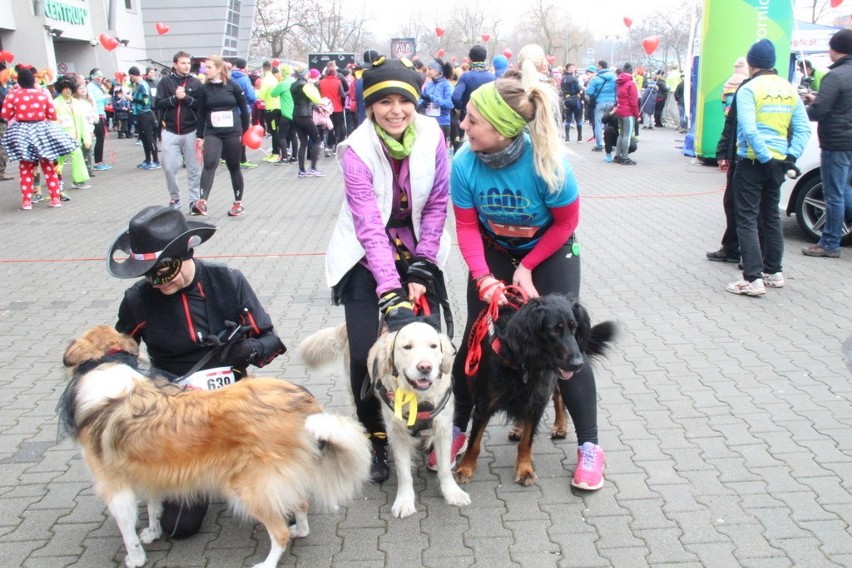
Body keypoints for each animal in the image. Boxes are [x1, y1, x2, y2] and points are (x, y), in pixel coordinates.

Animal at [56, 326, 370, 564]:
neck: (104, 364)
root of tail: (300, 400)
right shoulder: (147, 470)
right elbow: (154, 506)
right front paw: (153, 533)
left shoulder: (115, 487)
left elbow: (127, 532)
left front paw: (135, 558)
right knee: (300, 503)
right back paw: (299, 529)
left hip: (248, 486)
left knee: (278, 532)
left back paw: (267, 562)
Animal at [300, 322, 472, 516]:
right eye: (407, 347)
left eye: (433, 346)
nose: (425, 367)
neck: (418, 399)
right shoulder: (398, 433)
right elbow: (404, 472)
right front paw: (404, 501)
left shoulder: (443, 428)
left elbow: (444, 468)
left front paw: (453, 493)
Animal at [456, 296, 616, 486]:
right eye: (553, 330)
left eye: (574, 327)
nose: (578, 364)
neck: (522, 363)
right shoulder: (484, 403)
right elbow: (474, 443)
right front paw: (465, 468)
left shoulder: (537, 401)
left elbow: (527, 442)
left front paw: (524, 469)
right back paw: (518, 428)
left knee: (558, 397)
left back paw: (560, 426)